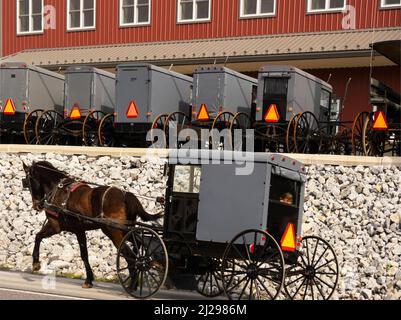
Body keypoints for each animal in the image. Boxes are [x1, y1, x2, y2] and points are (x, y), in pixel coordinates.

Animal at [21, 161, 162, 288]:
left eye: (28, 181)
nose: (36, 205)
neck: (58, 189)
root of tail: (126, 195)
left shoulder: (58, 226)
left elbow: (39, 237)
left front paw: (36, 263)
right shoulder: (76, 229)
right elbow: (84, 254)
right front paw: (89, 279)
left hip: (113, 231)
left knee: (129, 254)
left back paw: (132, 284)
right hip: (126, 229)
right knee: (137, 246)